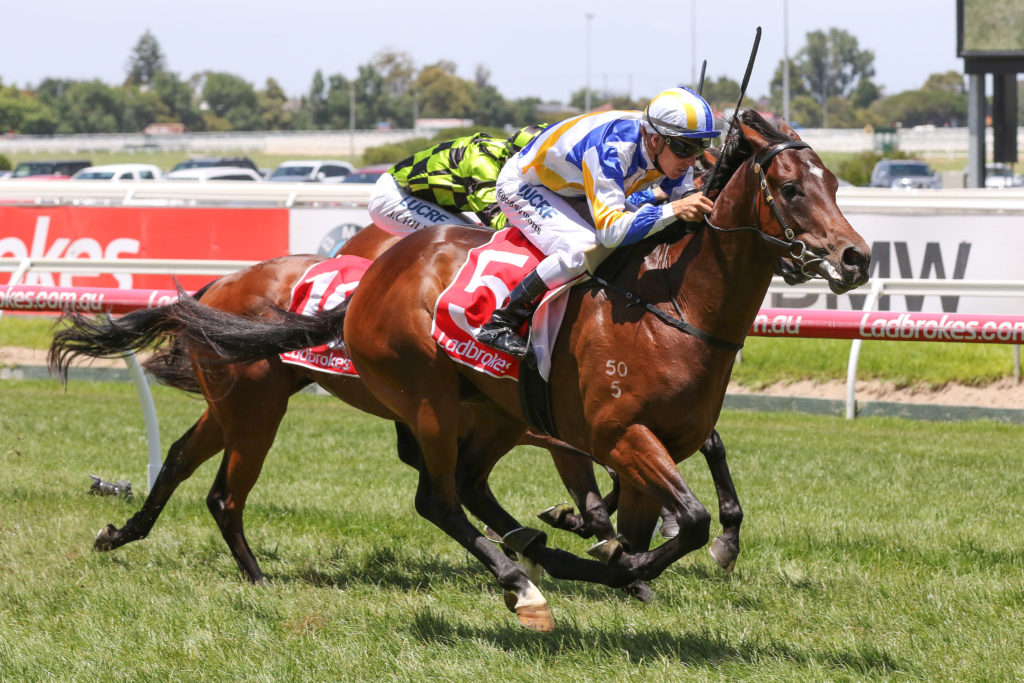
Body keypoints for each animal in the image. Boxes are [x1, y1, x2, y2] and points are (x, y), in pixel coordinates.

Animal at [128, 110, 870, 631]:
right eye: (792, 188)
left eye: (835, 183)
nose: (857, 257)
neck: (672, 301)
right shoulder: (611, 434)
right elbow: (677, 520)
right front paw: (594, 552)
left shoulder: (647, 439)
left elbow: (663, 514)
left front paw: (615, 554)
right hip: (381, 398)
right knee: (433, 497)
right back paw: (520, 580)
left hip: (469, 410)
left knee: (194, 461)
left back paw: (125, 533)